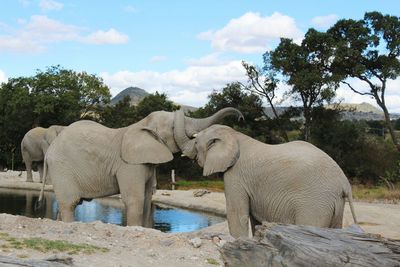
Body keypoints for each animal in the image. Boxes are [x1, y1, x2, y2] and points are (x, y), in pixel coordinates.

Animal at [38, 108, 244, 227]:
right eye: (172, 127)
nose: (241, 118)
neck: (142, 124)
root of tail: (50, 151)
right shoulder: (129, 165)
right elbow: (135, 200)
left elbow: (146, 199)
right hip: (62, 168)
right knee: (69, 203)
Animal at [175, 123, 356, 239]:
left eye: (196, 142)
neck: (235, 135)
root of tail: (344, 183)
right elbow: (255, 221)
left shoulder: (236, 176)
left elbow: (237, 216)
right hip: (333, 202)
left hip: (315, 203)